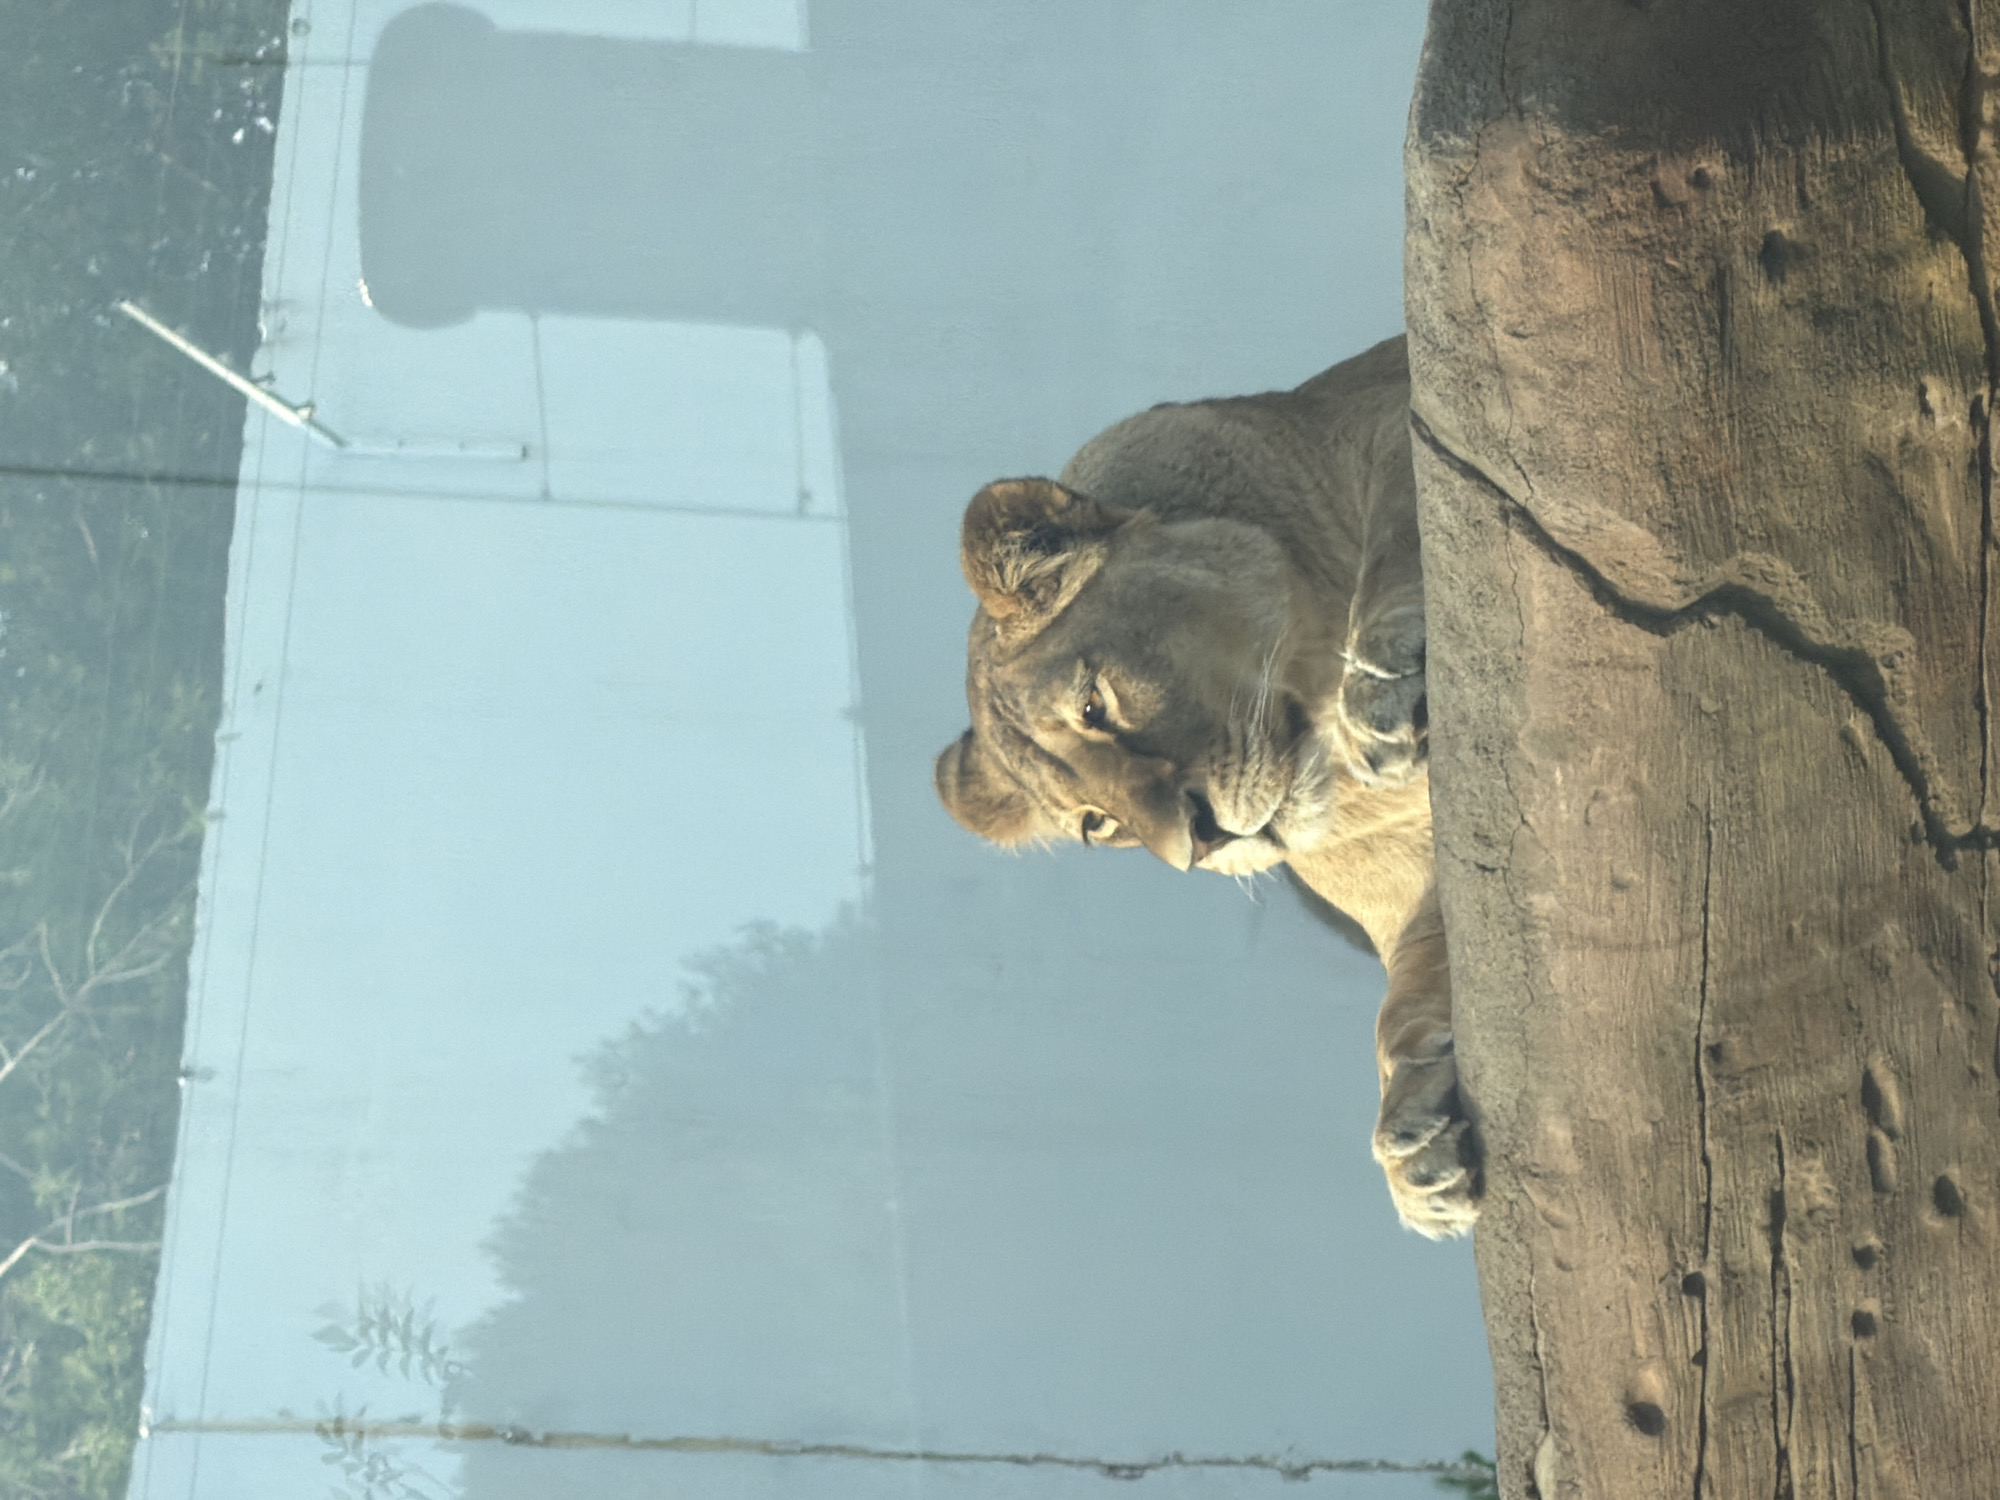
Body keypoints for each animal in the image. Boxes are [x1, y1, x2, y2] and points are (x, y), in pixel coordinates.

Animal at [932, 335, 1478, 1238]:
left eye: (1094, 706)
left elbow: (1409, 514)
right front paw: (1418, 1148)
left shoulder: (1393, 405)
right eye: (1097, 822)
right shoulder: (1410, 896)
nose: (1200, 841)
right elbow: (1404, 997)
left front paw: (1390, 678)